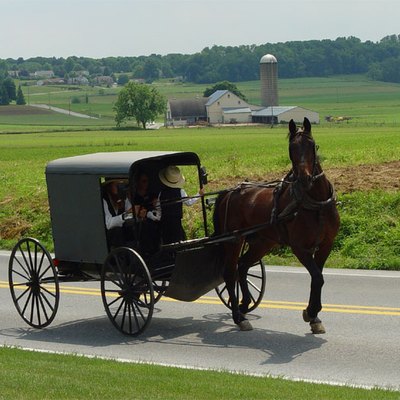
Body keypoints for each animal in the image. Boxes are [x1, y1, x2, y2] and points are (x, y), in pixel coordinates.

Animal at [214, 119, 340, 334]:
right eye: (291, 148)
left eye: (312, 145)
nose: (304, 178)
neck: (316, 204)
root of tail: (230, 191)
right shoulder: (300, 248)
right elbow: (317, 277)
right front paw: (311, 312)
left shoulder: (326, 244)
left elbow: (318, 278)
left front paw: (314, 316)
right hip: (234, 239)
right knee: (230, 273)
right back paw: (238, 317)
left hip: (262, 242)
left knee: (243, 266)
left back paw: (244, 304)